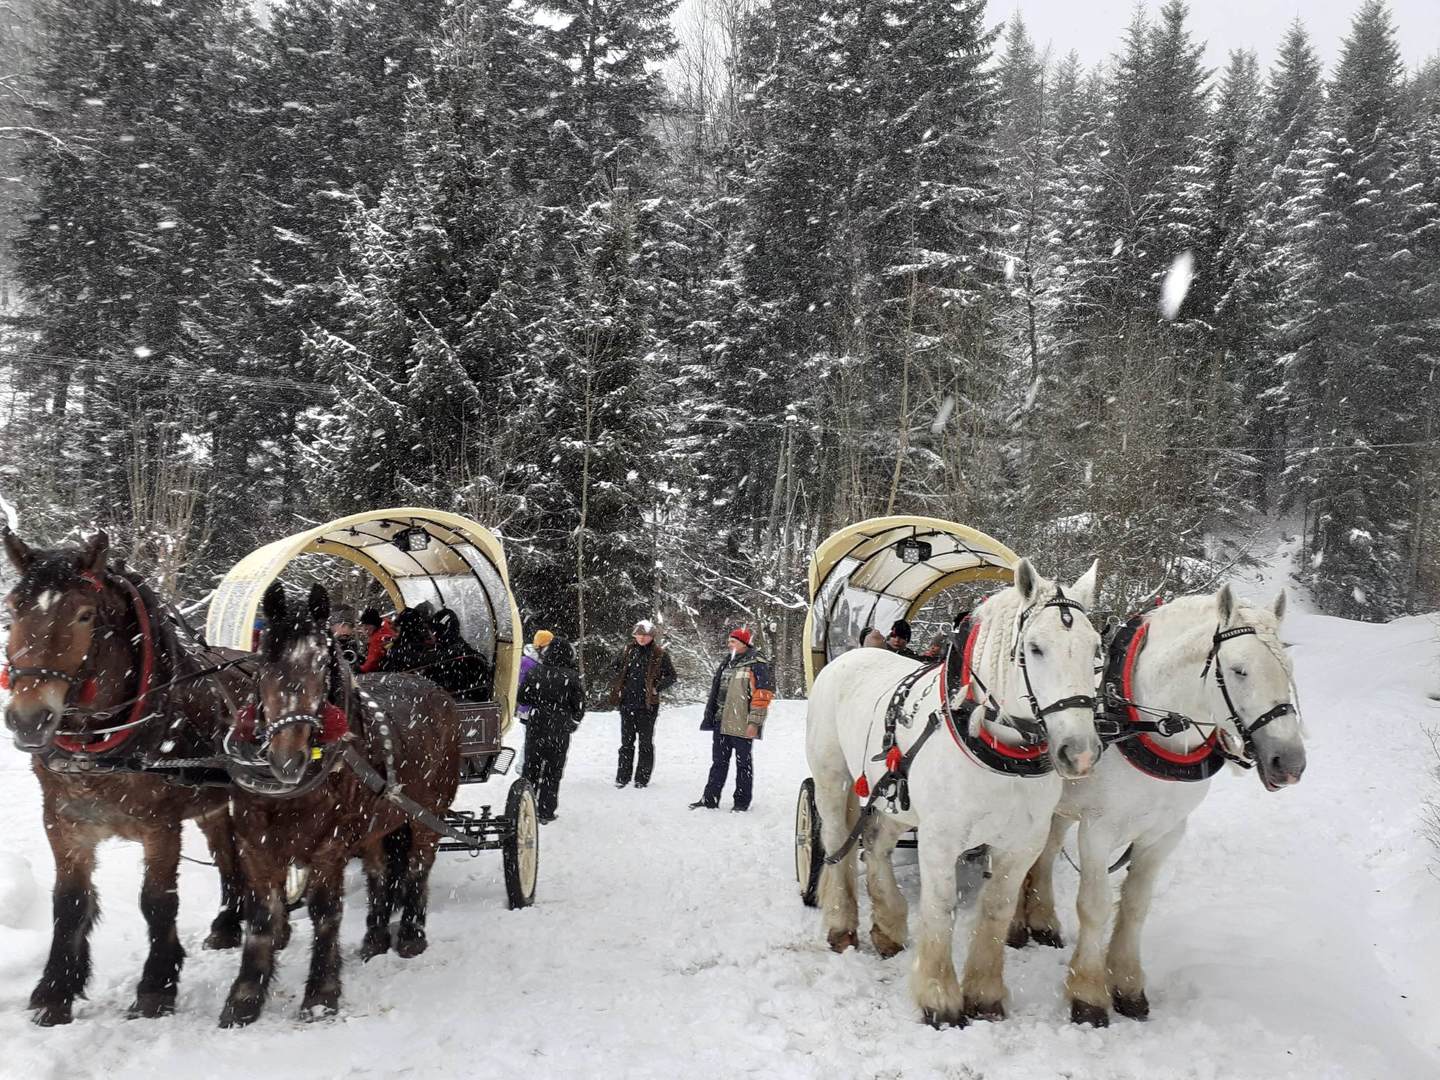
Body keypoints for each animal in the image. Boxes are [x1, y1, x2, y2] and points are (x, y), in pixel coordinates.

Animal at [0, 529, 244, 1025]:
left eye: (85, 614)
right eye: (13, 608)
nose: (28, 719)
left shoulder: (160, 825)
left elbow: (157, 900)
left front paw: (156, 986)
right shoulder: (64, 822)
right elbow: (69, 903)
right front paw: (56, 991)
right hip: (211, 805)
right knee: (227, 854)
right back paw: (229, 924)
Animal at [220, 587, 460, 1025]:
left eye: (322, 662)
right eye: (264, 662)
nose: (288, 759)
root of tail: (431, 686)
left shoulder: (329, 846)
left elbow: (325, 912)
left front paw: (321, 993)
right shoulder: (254, 843)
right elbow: (261, 916)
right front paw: (245, 996)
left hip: (428, 814)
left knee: (417, 868)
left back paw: (410, 935)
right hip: (377, 823)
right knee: (380, 873)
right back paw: (376, 938)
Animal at [812, 561, 1100, 1025]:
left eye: (1096, 649)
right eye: (1035, 648)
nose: (1080, 752)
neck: (999, 752)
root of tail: (852, 654)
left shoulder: (1022, 842)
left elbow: (997, 908)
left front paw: (984, 994)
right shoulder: (941, 838)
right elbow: (941, 905)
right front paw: (938, 996)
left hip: (895, 799)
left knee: (875, 845)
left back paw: (888, 925)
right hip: (831, 779)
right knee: (838, 840)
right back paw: (842, 925)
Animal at [1013, 587, 1307, 1025]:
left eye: (1287, 667)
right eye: (1238, 670)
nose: (1289, 764)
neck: (1145, 724)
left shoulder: (1165, 832)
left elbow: (1136, 905)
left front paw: (1128, 985)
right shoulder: (1099, 829)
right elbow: (1095, 906)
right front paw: (1088, 994)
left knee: (1045, 853)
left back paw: (1043, 921)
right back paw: (1016, 926)